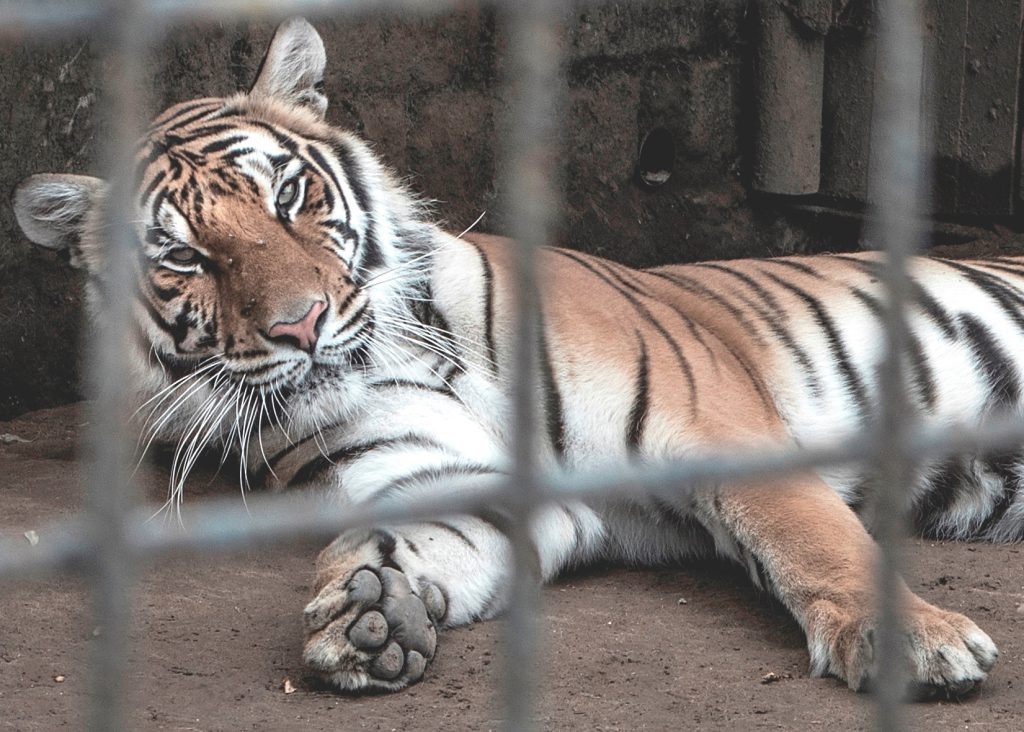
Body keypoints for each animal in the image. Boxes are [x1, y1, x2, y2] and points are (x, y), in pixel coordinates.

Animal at [14, 17, 1007, 700]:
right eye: (185, 257)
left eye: (289, 195)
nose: (302, 324)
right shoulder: (458, 482)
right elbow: (418, 537)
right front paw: (371, 611)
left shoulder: (723, 431)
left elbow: (817, 542)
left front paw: (914, 642)